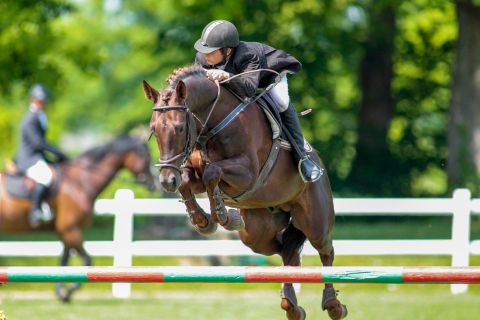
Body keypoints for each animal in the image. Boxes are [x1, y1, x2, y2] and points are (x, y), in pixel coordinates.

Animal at [0, 134, 158, 302]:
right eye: (146, 155)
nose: (155, 183)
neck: (81, 181)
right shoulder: (70, 229)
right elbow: (87, 261)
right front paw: (70, 290)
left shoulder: (66, 231)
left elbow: (64, 261)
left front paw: (62, 291)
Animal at [144, 65, 346, 320]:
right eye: (153, 129)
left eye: (180, 128)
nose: (166, 180)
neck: (213, 124)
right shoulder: (193, 172)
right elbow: (190, 182)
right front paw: (204, 221)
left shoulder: (247, 174)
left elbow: (212, 173)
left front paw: (223, 216)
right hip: (257, 233)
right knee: (286, 251)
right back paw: (292, 306)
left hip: (315, 221)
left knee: (326, 251)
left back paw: (333, 306)